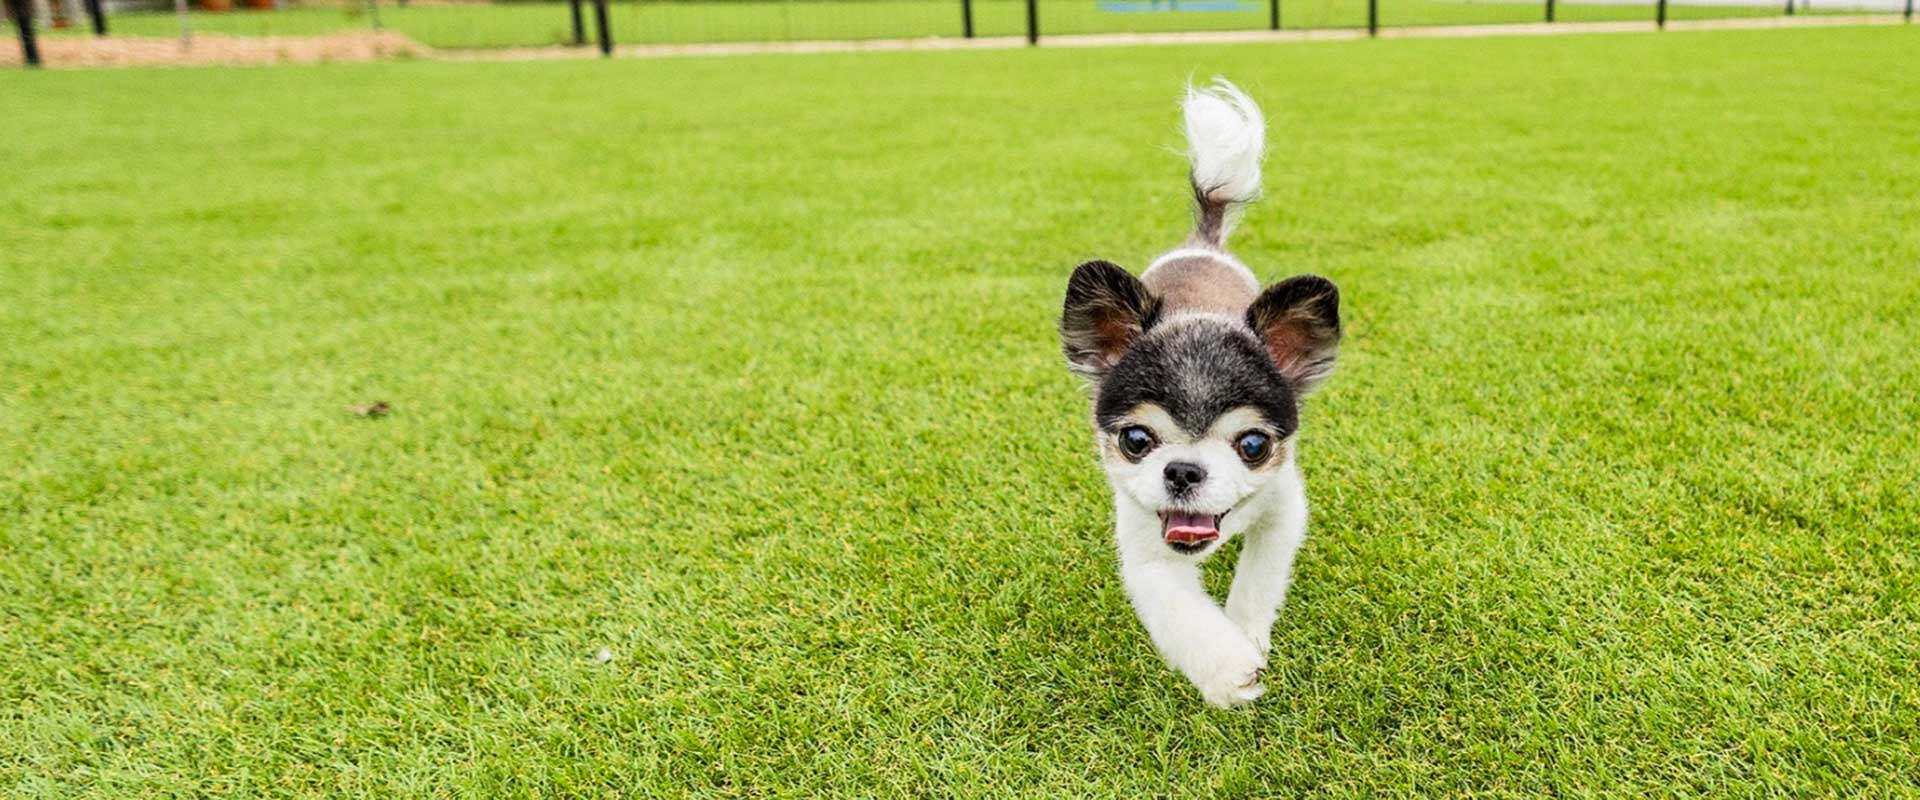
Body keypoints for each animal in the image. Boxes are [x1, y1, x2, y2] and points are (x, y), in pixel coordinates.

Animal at [1059, 81, 1344, 705]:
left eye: (1254, 446)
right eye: (1137, 440)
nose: (1184, 471)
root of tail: (1202, 243)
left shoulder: (1283, 510)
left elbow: (1259, 580)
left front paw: (1245, 633)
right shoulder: (1146, 548)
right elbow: (1179, 613)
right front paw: (1227, 667)